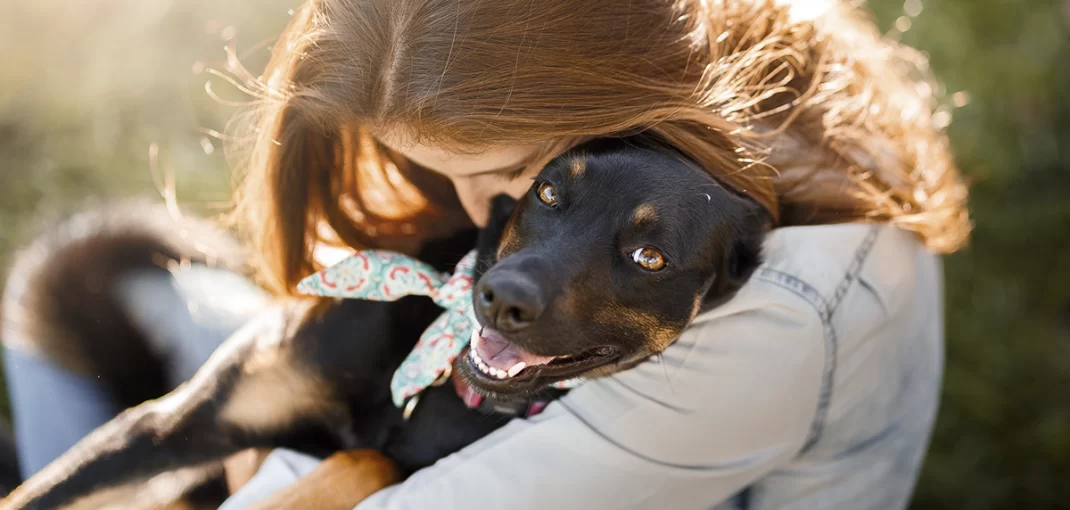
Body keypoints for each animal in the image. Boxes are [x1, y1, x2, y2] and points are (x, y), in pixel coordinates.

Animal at [0, 136, 770, 506]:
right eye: (549, 191)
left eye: (649, 256)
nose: (499, 298)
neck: (433, 373)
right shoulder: (172, 426)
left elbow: (368, 459)